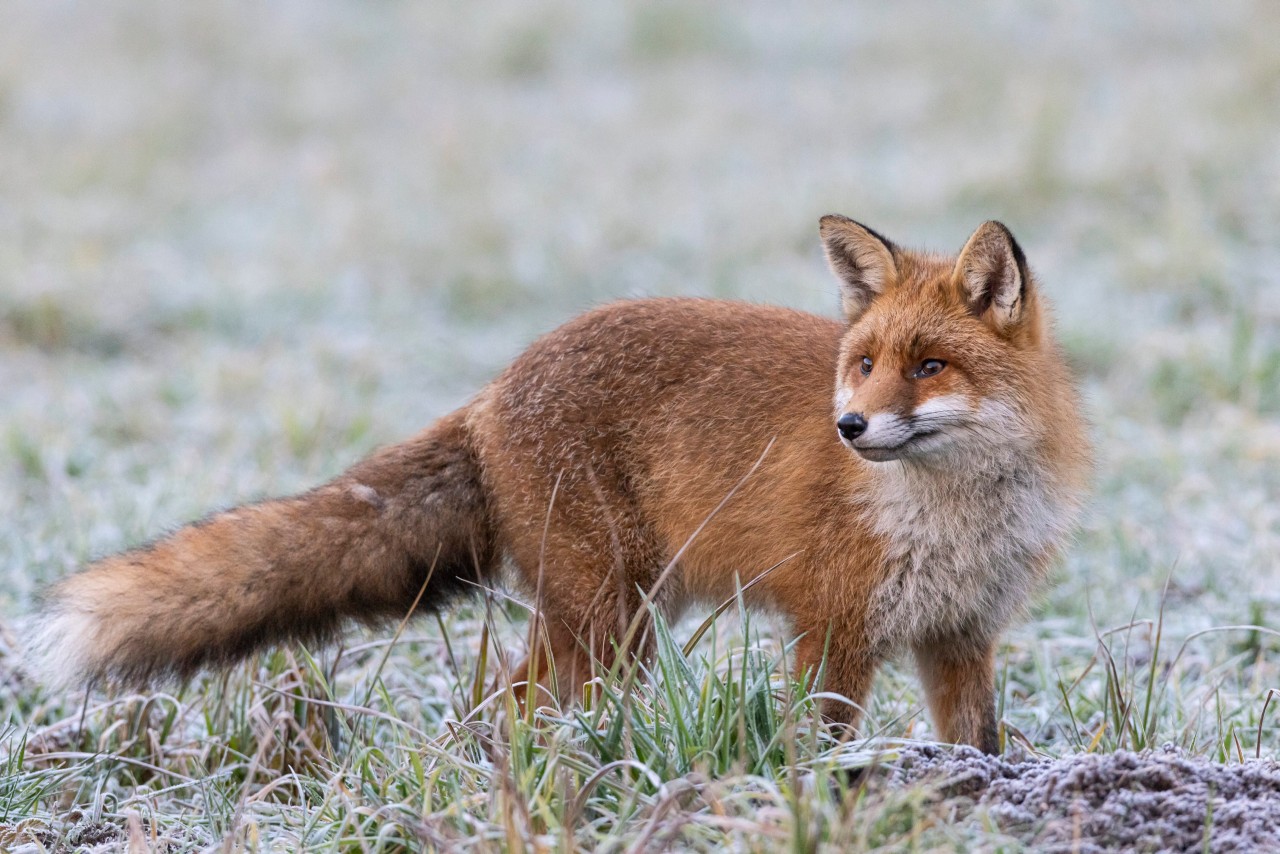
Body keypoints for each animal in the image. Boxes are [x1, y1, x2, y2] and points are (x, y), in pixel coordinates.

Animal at [24, 215, 1090, 752]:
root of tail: (495, 388)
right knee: (512, 701)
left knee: (499, 700)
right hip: (607, 620)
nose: (850, 428)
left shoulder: (959, 638)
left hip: (611, 617)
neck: (952, 516)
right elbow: (818, 749)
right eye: (864, 363)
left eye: (928, 367)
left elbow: (980, 747)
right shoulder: (832, 631)